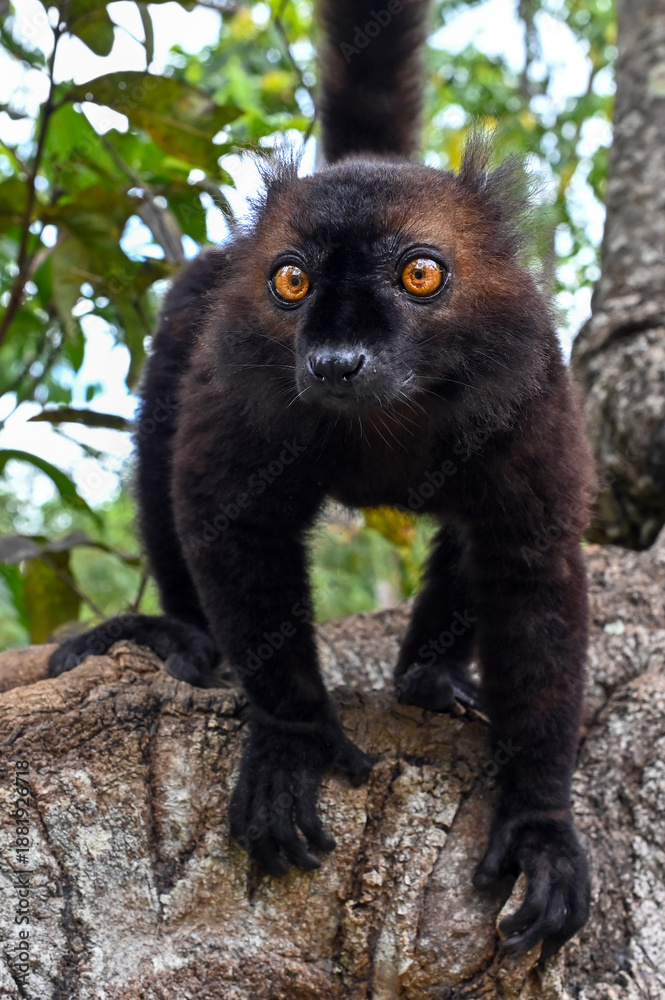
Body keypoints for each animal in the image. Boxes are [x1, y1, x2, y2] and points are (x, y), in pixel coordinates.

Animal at [49, 0, 594, 958]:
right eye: (292, 280)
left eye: (421, 273)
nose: (337, 361)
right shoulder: (242, 375)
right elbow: (231, 522)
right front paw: (292, 743)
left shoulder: (525, 381)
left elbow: (530, 567)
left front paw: (540, 826)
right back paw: (175, 636)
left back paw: (428, 677)